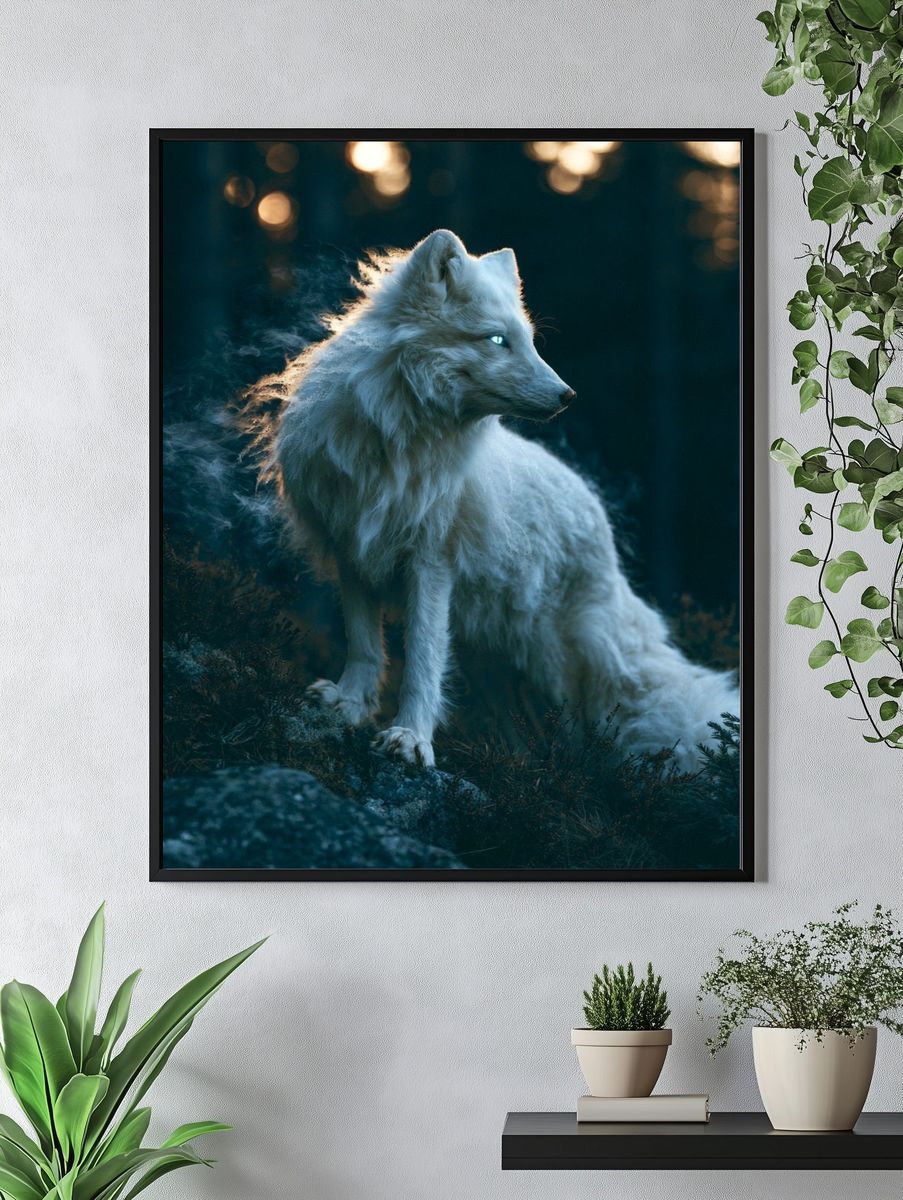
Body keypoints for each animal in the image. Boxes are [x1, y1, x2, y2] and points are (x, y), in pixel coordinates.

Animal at [268, 229, 738, 769]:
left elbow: (422, 660)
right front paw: (350, 705)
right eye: (497, 340)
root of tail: (600, 522)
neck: (395, 440)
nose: (568, 395)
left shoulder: (431, 562)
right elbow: (365, 646)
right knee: (521, 726)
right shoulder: (355, 550)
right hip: (491, 658)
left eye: (531, 340)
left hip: (550, 661)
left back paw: (573, 771)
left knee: (577, 732)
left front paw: (411, 738)